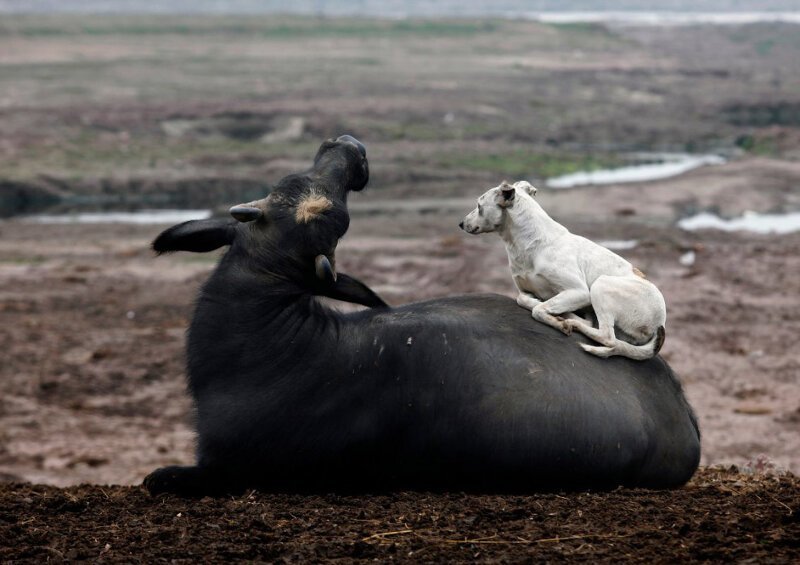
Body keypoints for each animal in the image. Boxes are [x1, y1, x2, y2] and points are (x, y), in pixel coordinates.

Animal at [460, 178, 664, 360]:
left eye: (479, 205)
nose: (461, 224)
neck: (531, 243)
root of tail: (660, 323)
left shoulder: (580, 292)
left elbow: (538, 310)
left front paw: (558, 321)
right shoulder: (524, 289)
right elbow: (524, 300)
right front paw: (540, 304)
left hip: (601, 285)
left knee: (607, 337)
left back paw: (573, 321)